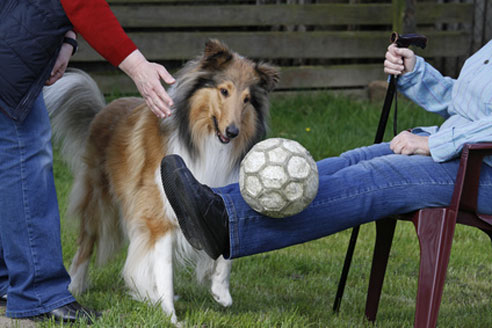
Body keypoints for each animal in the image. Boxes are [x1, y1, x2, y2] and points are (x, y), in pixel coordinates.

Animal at [44, 39, 278, 322]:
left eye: (247, 100)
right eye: (224, 91)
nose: (232, 132)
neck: (203, 142)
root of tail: (103, 109)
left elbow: (226, 250)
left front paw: (221, 291)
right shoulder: (158, 218)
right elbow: (163, 270)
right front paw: (170, 316)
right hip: (98, 201)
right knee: (85, 245)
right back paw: (74, 288)